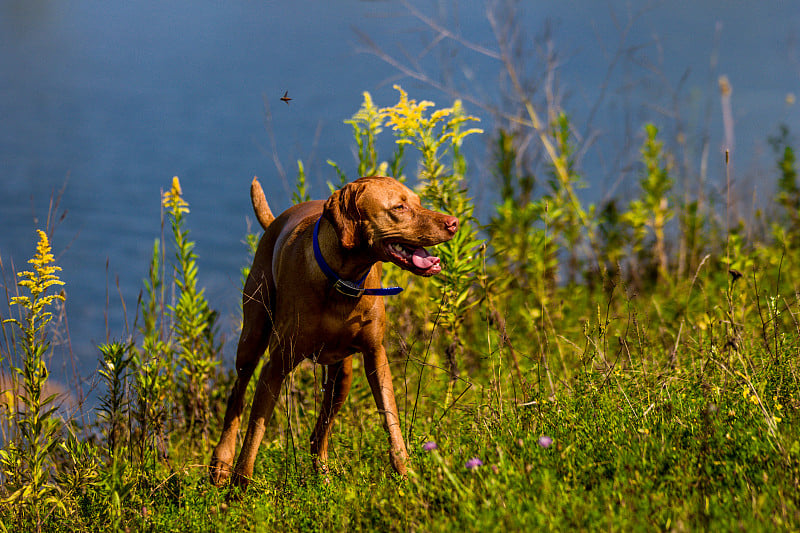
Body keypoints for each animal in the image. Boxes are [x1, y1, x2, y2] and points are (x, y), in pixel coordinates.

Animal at [208, 175, 456, 486]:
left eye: (419, 202)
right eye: (399, 207)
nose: (454, 222)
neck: (342, 279)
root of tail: (275, 222)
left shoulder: (376, 355)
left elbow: (390, 417)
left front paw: (406, 473)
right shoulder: (276, 365)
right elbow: (255, 432)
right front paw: (239, 487)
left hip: (342, 376)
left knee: (319, 434)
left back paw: (323, 479)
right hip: (252, 337)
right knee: (237, 396)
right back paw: (221, 461)